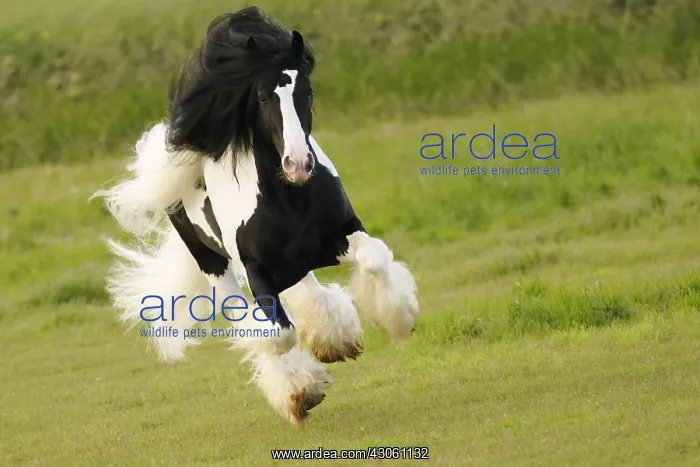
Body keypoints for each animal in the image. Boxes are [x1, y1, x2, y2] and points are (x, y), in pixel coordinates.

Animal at [93, 6, 419, 427]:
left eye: (307, 91)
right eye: (263, 97)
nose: (298, 163)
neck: (290, 200)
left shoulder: (344, 232)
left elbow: (376, 259)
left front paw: (397, 319)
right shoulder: (257, 271)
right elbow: (277, 334)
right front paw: (302, 392)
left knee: (304, 287)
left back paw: (334, 338)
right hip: (211, 260)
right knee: (242, 314)